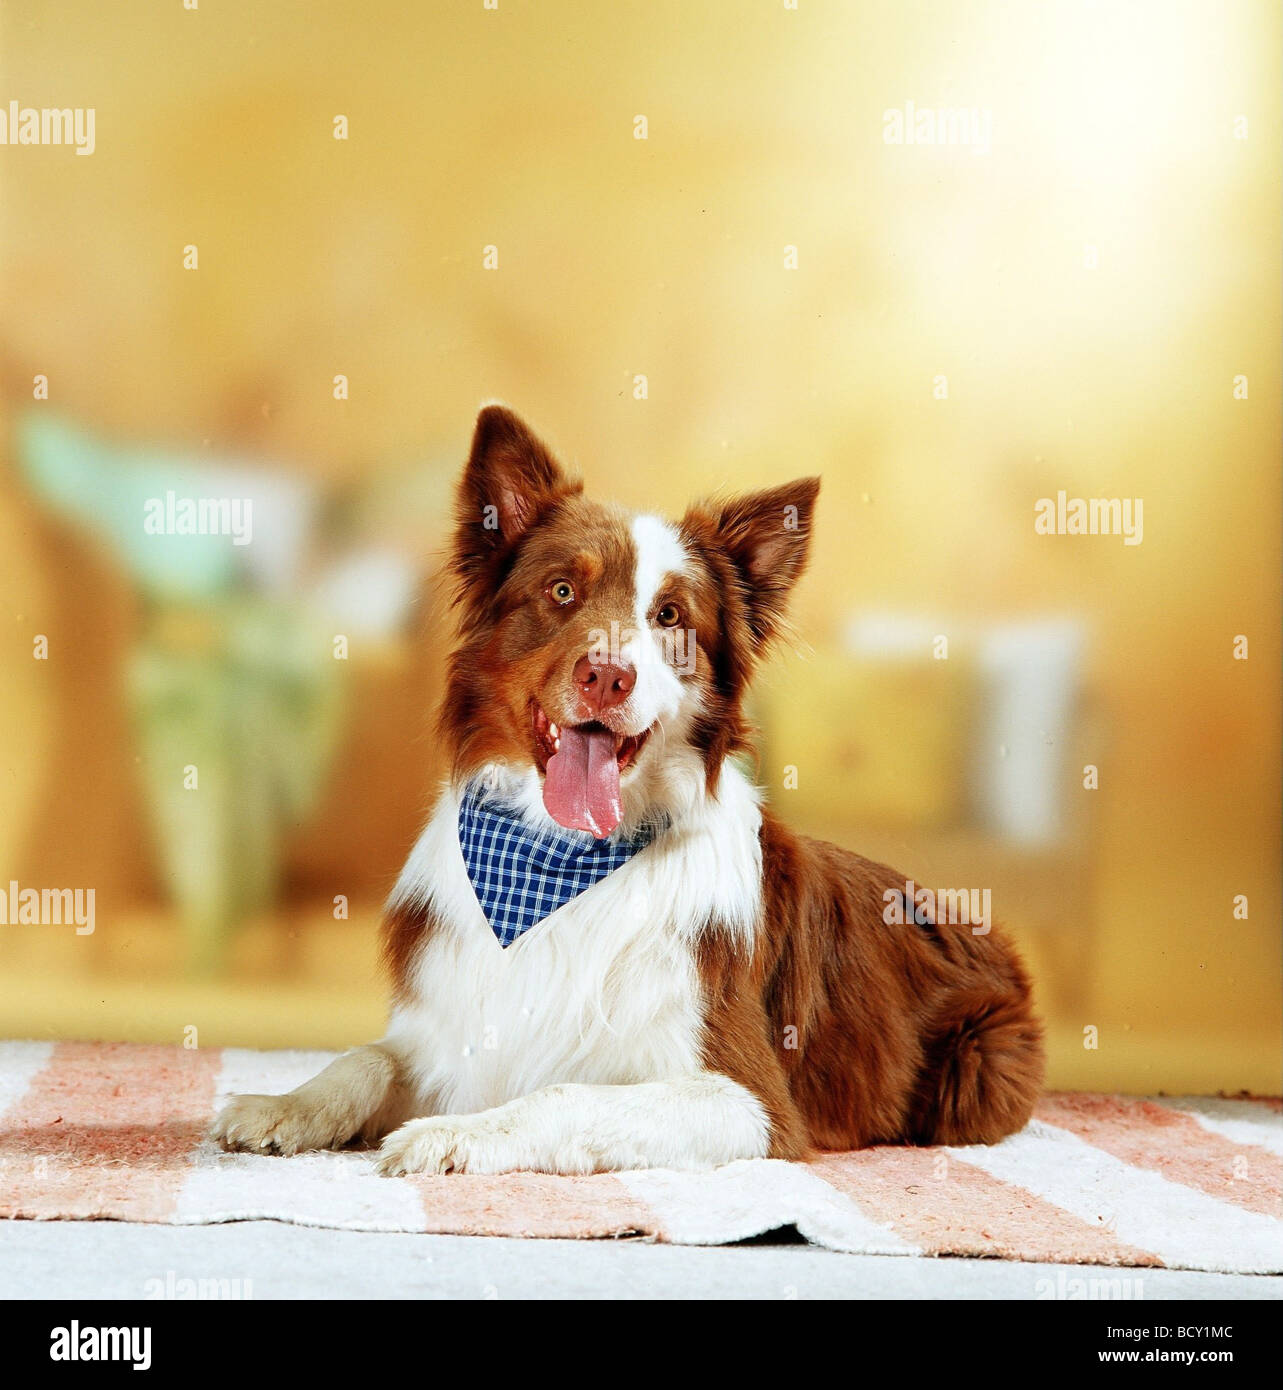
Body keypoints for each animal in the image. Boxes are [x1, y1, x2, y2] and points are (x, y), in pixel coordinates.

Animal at [212, 405, 1045, 1178]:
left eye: (669, 617)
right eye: (560, 590)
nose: (607, 675)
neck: (552, 860)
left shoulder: (748, 1100)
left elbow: (564, 1093)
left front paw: (450, 1135)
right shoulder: (452, 1032)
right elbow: (368, 1057)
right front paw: (279, 1106)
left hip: (977, 1064)